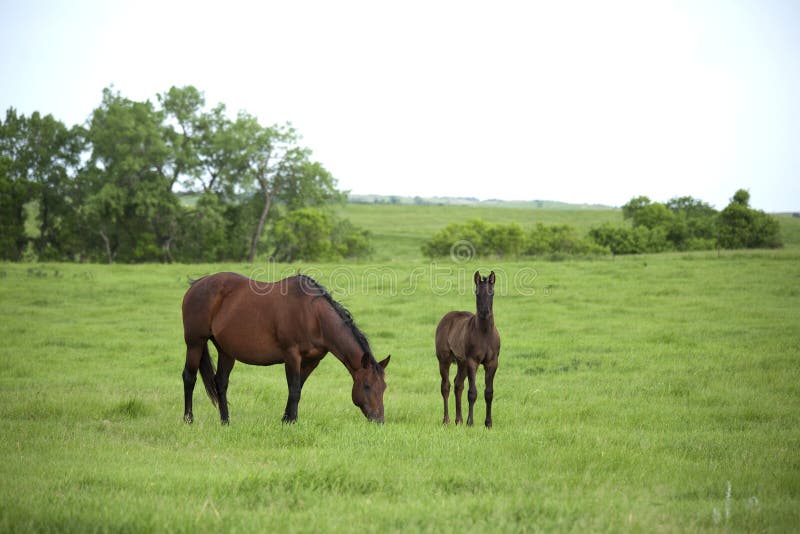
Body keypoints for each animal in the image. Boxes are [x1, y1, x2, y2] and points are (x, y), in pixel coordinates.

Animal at [182, 274, 394, 426]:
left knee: (221, 382)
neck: (313, 316)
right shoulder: (291, 355)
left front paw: (287, 418)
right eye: (367, 386)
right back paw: (188, 419)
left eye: (383, 387)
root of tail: (196, 284)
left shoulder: (311, 361)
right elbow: (294, 388)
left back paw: (225, 421)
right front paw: (290, 422)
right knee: (189, 377)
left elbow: (298, 388)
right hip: (195, 343)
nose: (379, 421)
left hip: (226, 351)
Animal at [438, 272, 500, 428]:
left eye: (492, 292)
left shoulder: (492, 363)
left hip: (462, 363)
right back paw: (447, 420)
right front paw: (470, 422)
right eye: (477, 293)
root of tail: (446, 317)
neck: (484, 333)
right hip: (444, 360)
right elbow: (472, 392)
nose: (485, 312)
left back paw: (458, 420)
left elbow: (489, 393)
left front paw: (488, 423)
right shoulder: (473, 362)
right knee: (446, 386)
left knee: (458, 385)